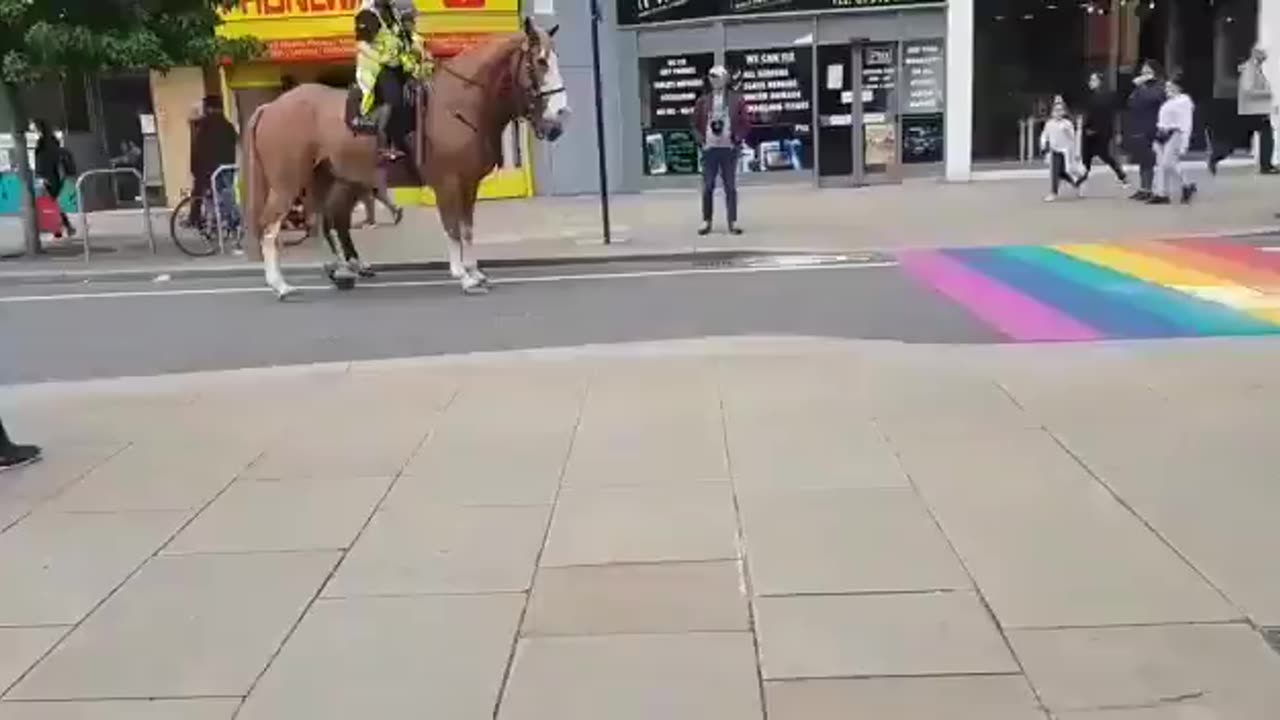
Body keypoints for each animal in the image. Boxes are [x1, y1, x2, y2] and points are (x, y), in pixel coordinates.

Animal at [245, 18, 570, 297]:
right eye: (540, 61)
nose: (558, 120)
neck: (458, 104)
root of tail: (271, 107)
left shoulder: (468, 184)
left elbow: (466, 228)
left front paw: (475, 272)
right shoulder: (448, 183)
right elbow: (452, 227)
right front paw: (462, 276)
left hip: (325, 179)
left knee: (322, 221)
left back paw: (339, 271)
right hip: (288, 183)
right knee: (272, 228)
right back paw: (280, 285)